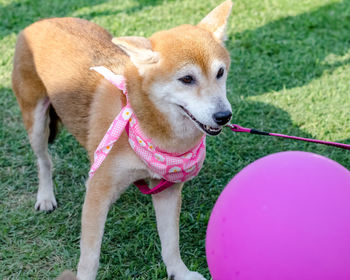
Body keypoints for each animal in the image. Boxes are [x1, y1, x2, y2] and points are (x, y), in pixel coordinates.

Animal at [12, 1, 234, 278]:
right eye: (186, 79)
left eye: (220, 72)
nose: (224, 116)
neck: (144, 128)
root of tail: (42, 22)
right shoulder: (98, 194)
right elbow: (90, 258)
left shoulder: (167, 190)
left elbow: (170, 243)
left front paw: (179, 272)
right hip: (36, 122)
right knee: (44, 161)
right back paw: (45, 196)